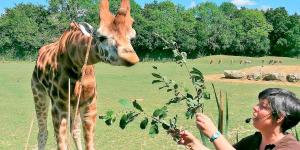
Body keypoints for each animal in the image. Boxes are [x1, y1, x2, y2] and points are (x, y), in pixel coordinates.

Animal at [30, 0, 138, 149]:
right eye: (101, 37)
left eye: (132, 38)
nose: (131, 58)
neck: (76, 61)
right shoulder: (59, 107)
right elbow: (61, 144)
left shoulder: (89, 105)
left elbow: (88, 142)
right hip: (38, 93)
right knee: (43, 132)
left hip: (73, 104)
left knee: (74, 130)